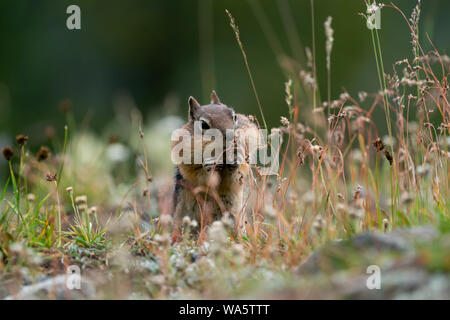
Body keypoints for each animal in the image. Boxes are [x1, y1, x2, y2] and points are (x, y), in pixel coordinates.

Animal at [171, 90, 258, 232]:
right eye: (203, 124)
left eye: (234, 116)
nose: (232, 137)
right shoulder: (187, 164)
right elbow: (201, 178)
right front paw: (209, 163)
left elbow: (237, 176)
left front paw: (237, 159)